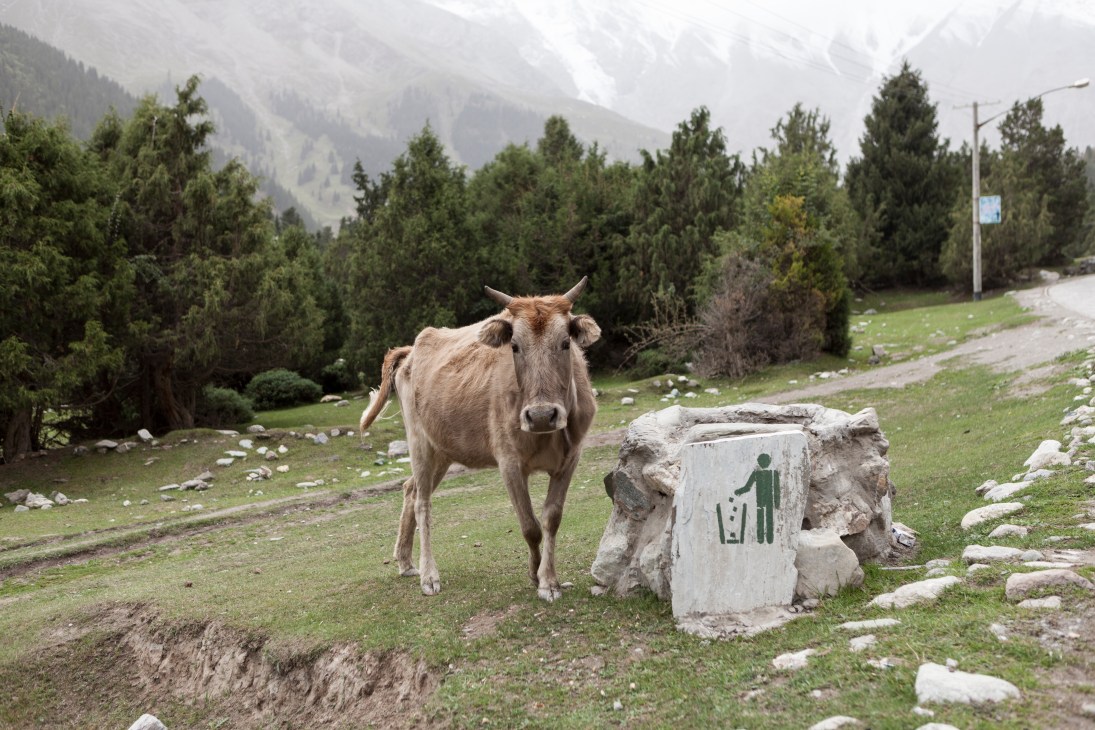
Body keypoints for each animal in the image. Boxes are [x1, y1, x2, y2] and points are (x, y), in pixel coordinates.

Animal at [359, 277, 600, 601]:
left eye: (565, 343)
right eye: (514, 346)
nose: (540, 415)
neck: (542, 436)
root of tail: (411, 350)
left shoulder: (571, 457)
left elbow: (551, 518)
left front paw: (549, 580)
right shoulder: (508, 461)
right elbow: (530, 526)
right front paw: (536, 575)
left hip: (442, 449)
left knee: (410, 489)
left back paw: (405, 562)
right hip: (418, 440)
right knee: (422, 502)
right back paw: (428, 575)